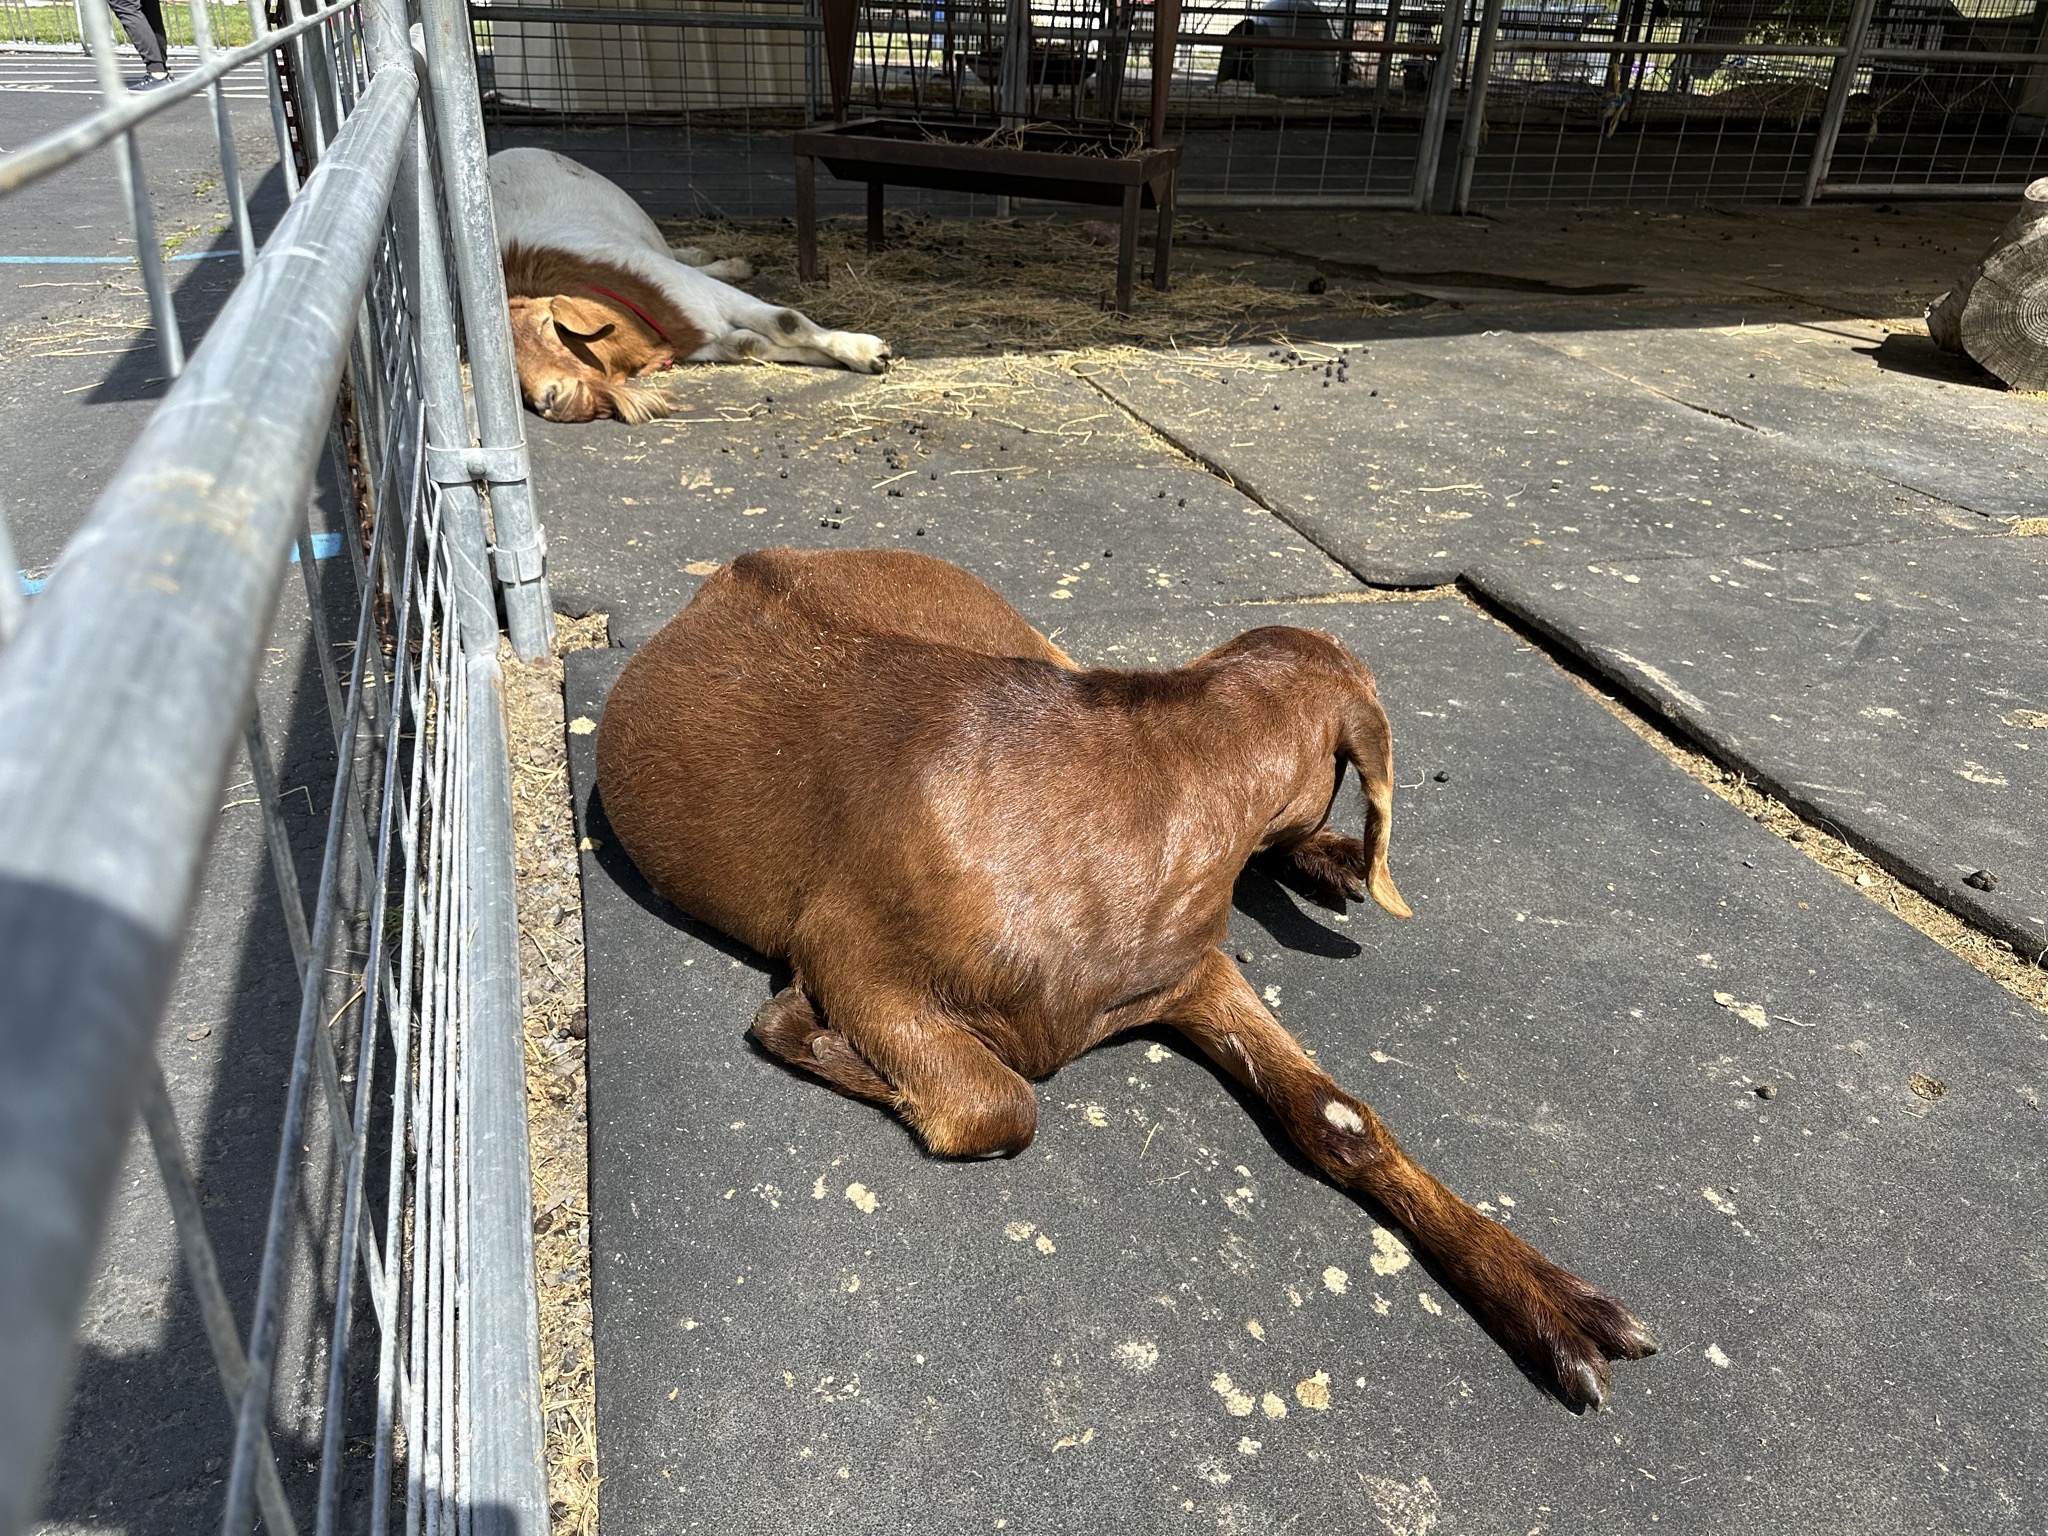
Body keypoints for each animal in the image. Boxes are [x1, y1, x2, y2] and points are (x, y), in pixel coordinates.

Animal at [488, 147, 891, 424]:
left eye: (545, 325)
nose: (549, 399)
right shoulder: (697, 336)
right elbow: (752, 345)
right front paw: (848, 358)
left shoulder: (685, 288)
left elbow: (785, 322)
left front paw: (864, 351)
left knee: (677, 253)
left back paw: (725, 261)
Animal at [594, 548, 1656, 1407]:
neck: (1156, 774)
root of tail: (754, 562)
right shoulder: (855, 954)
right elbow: (1000, 1103)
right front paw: (796, 1028)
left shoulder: (1187, 973)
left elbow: (1338, 1121)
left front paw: (1554, 1305)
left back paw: (1331, 863)